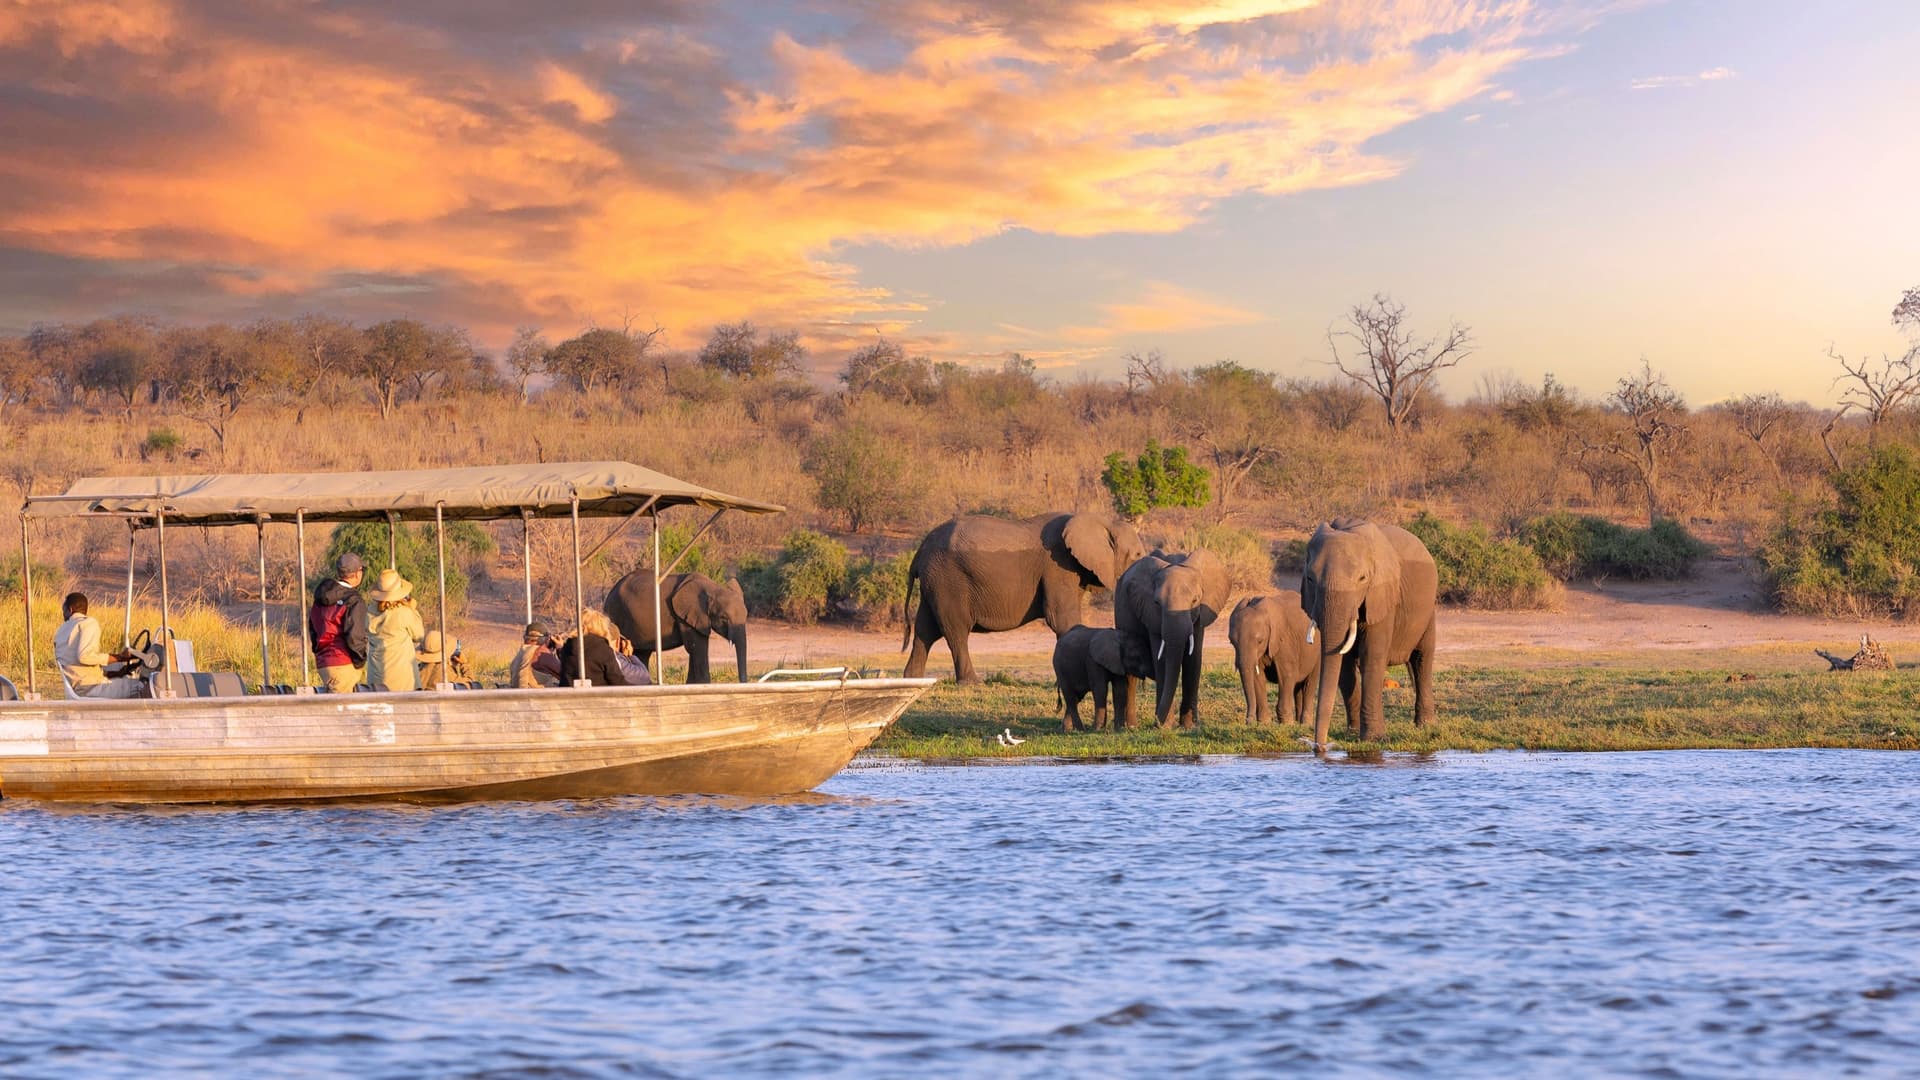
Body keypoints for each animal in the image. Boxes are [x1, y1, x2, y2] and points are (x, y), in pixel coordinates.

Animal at [604, 569, 748, 684]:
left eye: (746, 615)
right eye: (724, 618)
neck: (712, 587)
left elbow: (693, 649)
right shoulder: (687, 616)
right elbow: (697, 647)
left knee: (642, 654)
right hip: (616, 612)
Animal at [902, 512, 1146, 682]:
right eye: (1137, 555)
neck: (1101, 520)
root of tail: (920, 552)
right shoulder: (1057, 565)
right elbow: (1061, 617)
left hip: (935, 582)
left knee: (926, 630)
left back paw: (912, 679)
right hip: (948, 580)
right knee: (956, 630)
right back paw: (971, 683)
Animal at [1114, 549, 1230, 729]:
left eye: (1195, 600)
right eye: (1157, 603)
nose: (1157, 723)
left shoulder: (1200, 616)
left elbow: (1193, 659)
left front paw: (1190, 726)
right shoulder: (1151, 614)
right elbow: (1162, 660)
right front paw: (1166, 726)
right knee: (1130, 675)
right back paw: (1130, 726)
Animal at [1228, 592, 1320, 725]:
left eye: (1260, 641)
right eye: (1232, 642)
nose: (1248, 721)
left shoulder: (1284, 641)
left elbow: (1287, 675)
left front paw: (1287, 723)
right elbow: (1257, 677)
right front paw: (1264, 723)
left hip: (1317, 651)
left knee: (1310, 682)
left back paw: (1305, 723)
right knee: (1298, 686)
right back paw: (1298, 721)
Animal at [1300, 519, 1439, 750]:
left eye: (1362, 578)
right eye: (1310, 578)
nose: (1320, 747)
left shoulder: (1382, 595)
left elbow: (1371, 657)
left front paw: (1374, 739)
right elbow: (1344, 665)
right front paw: (1352, 733)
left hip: (1428, 609)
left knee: (1422, 659)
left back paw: (1425, 726)